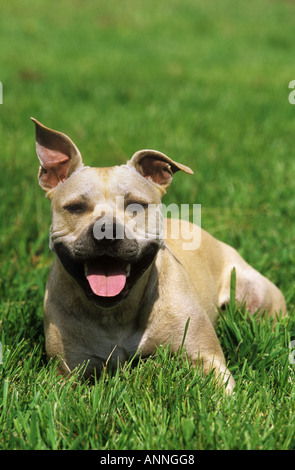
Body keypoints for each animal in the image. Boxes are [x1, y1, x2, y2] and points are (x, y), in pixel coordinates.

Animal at [31, 116, 286, 392]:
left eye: (136, 204)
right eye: (75, 207)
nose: (106, 231)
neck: (116, 314)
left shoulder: (207, 360)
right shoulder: (67, 373)